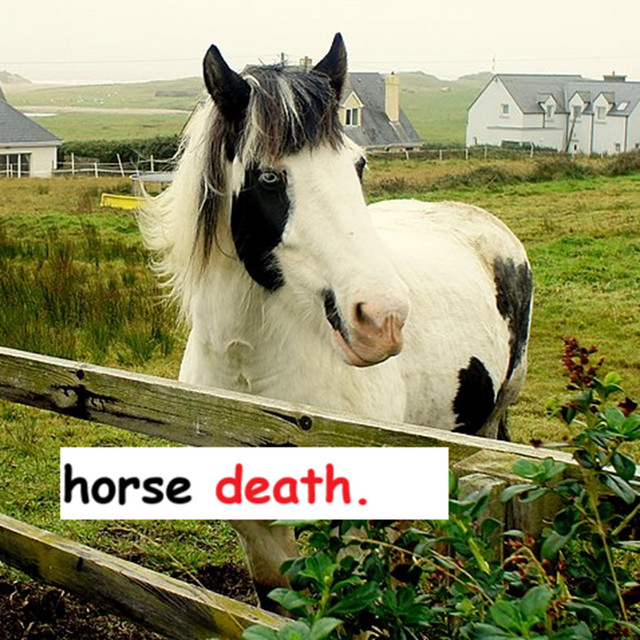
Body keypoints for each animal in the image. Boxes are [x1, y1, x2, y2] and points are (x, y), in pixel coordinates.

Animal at [139, 33, 533, 607]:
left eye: (359, 165)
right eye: (269, 175)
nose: (383, 318)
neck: (250, 378)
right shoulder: (257, 534)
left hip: (485, 423)